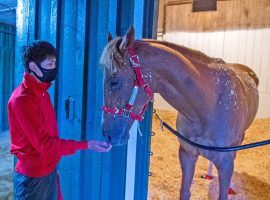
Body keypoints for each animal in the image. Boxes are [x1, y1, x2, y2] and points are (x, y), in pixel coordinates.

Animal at [100, 26, 258, 200]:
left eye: (114, 81)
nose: (107, 135)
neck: (208, 105)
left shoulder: (226, 163)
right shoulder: (187, 154)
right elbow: (185, 192)